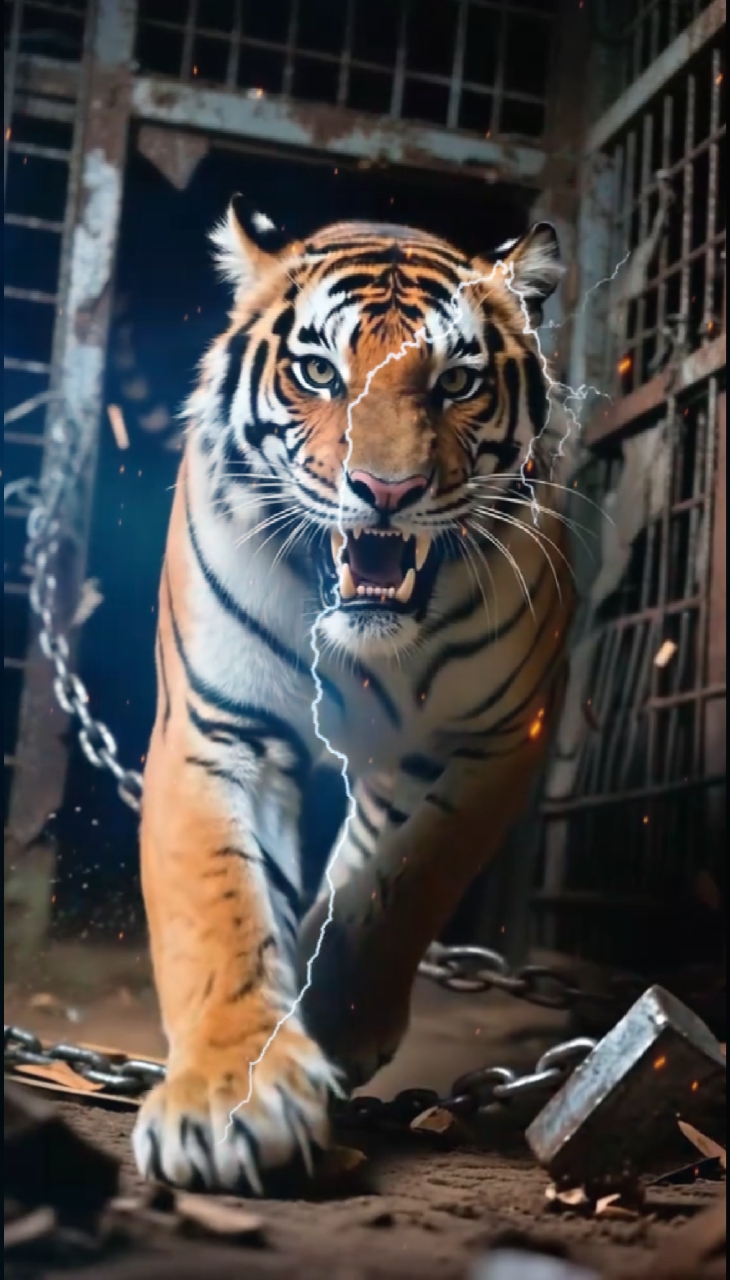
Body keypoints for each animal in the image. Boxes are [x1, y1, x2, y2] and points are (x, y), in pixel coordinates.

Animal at [132, 200, 576, 1192]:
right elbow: (217, 908)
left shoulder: (500, 737)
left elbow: (400, 878)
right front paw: (230, 1097)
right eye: (318, 373)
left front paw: (333, 1024)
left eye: (456, 382)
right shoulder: (217, 729)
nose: (386, 491)